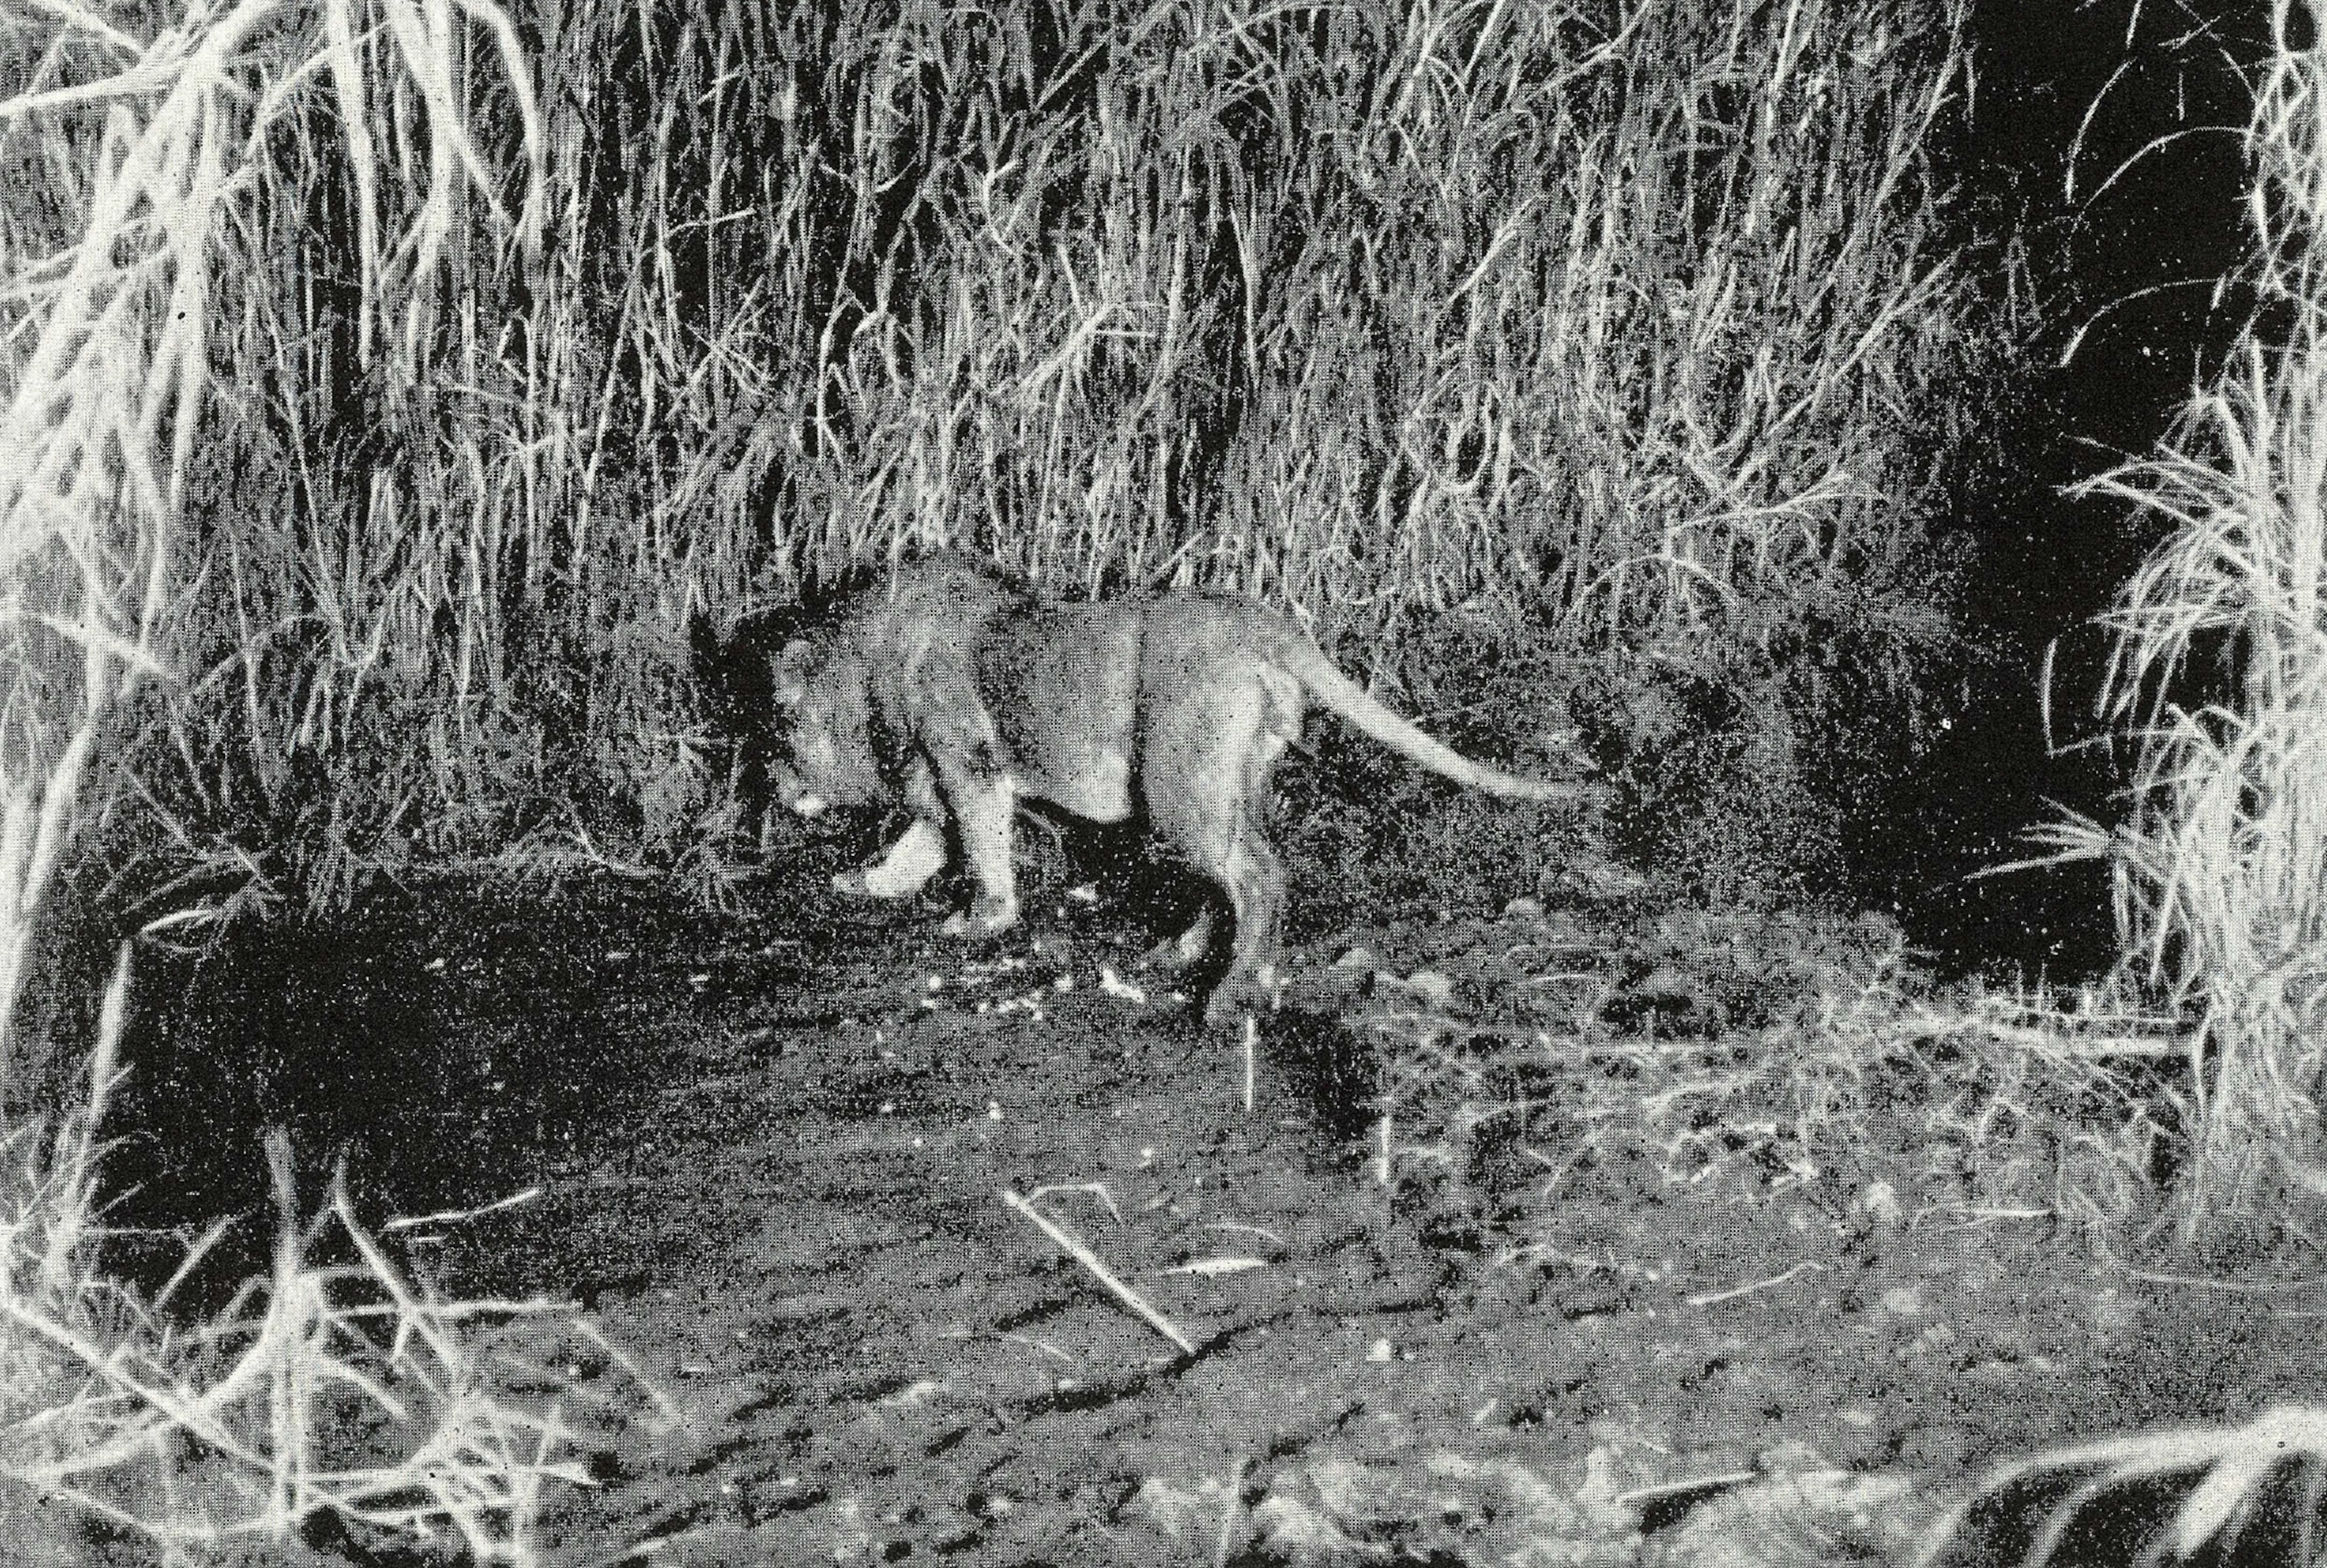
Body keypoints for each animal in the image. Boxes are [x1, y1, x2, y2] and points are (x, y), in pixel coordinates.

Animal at [690, 554, 1584, 1027]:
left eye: (780, 725)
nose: (774, 790)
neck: (868, 664)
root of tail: (1266, 625)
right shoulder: (938, 776)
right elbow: (923, 842)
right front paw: (868, 883)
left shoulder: (967, 760)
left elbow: (978, 846)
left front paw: (983, 921)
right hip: (1223, 778)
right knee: (1237, 874)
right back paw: (1183, 951)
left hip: (1177, 779)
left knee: (1260, 876)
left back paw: (1227, 994)